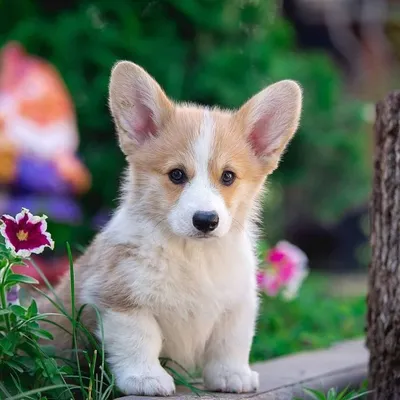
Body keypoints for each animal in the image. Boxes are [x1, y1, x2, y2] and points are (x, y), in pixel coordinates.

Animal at [45, 61, 302, 396]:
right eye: (177, 174)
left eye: (228, 176)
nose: (205, 220)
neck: (192, 254)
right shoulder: (121, 300)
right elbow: (140, 340)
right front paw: (146, 379)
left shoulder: (237, 302)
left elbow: (231, 342)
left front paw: (232, 375)